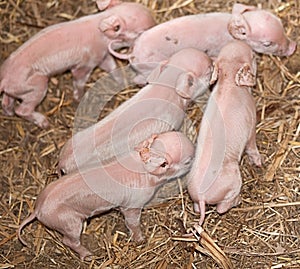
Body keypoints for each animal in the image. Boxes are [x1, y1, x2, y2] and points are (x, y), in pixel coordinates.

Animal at [0, 0, 155, 127]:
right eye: (141, 32)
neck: (101, 34)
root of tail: (4, 78)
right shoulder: (87, 62)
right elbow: (79, 79)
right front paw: (80, 97)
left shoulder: (102, 56)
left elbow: (112, 67)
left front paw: (123, 80)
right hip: (37, 85)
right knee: (22, 110)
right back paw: (44, 123)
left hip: (18, 88)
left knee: (7, 100)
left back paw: (8, 112)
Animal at [17, 130, 195, 260]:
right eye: (187, 161)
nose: (194, 157)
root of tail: (37, 209)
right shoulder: (132, 204)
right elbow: (132, 222)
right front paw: (140, 240)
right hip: (68, 222)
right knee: (68, 240)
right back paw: (89, 256)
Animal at [109, 2, 296, 82]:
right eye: (267, 43)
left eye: (280, 22)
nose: (294, 47)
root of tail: (131, 54)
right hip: (148, 67)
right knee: (139, 80)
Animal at [188, 40, 262, 224]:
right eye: (253, 56)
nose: (256, 55)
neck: (229, 82)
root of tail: (201, 195)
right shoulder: (251, 123)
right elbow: (252, 145)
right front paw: (259, 163)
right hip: (234, 180)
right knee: (222, 207)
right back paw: (238, 201)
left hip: (194, 196)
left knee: (197, 207)